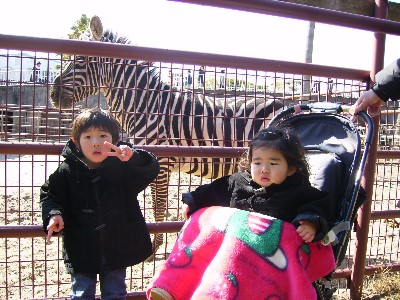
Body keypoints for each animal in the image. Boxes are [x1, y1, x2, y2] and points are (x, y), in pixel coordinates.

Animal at [49, 15, 282, 253]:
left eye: (81, 59)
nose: (52, 94)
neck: (147, 105)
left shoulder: (162, 161)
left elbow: (158, 204)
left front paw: (155, 248)